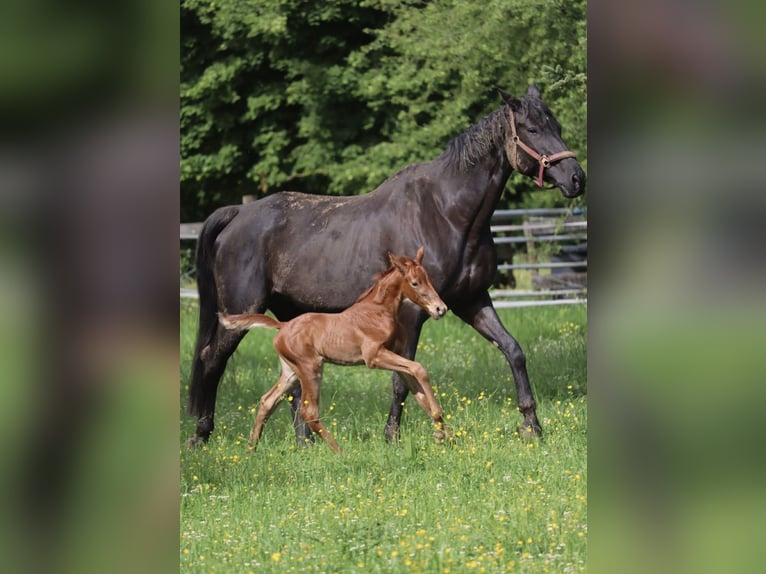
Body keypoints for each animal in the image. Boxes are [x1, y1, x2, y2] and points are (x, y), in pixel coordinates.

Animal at [218, 247, 450, 454]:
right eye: (415, 282)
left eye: (428, 278)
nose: (441, 309)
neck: (377, 311)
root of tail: (282, 326)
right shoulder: (374, 356)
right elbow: (419, 369)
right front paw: (441, 428)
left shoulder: (396, 356)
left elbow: (417, 391)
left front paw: (445, 435)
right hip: (311, 368)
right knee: (309, 411)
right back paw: (340, 452)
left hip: (291, 372)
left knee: (267, 401)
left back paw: (251, 450)